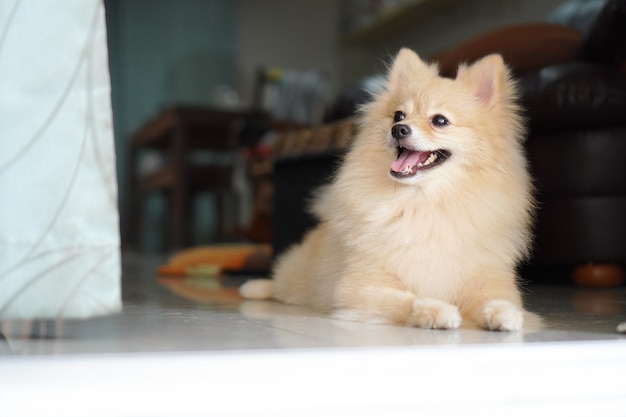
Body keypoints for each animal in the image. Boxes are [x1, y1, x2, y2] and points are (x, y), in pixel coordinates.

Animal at [241, 47, 532, 330]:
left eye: (439, 121)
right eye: (398, 115)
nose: (399, 129)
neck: (423, 202)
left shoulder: (489, 280)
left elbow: (499, 300)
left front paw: (505, 314)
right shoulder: (359, 287)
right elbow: (408, 299)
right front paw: (435, 310)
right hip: (299, 276)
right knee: (282, 280)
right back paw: (254, 288)